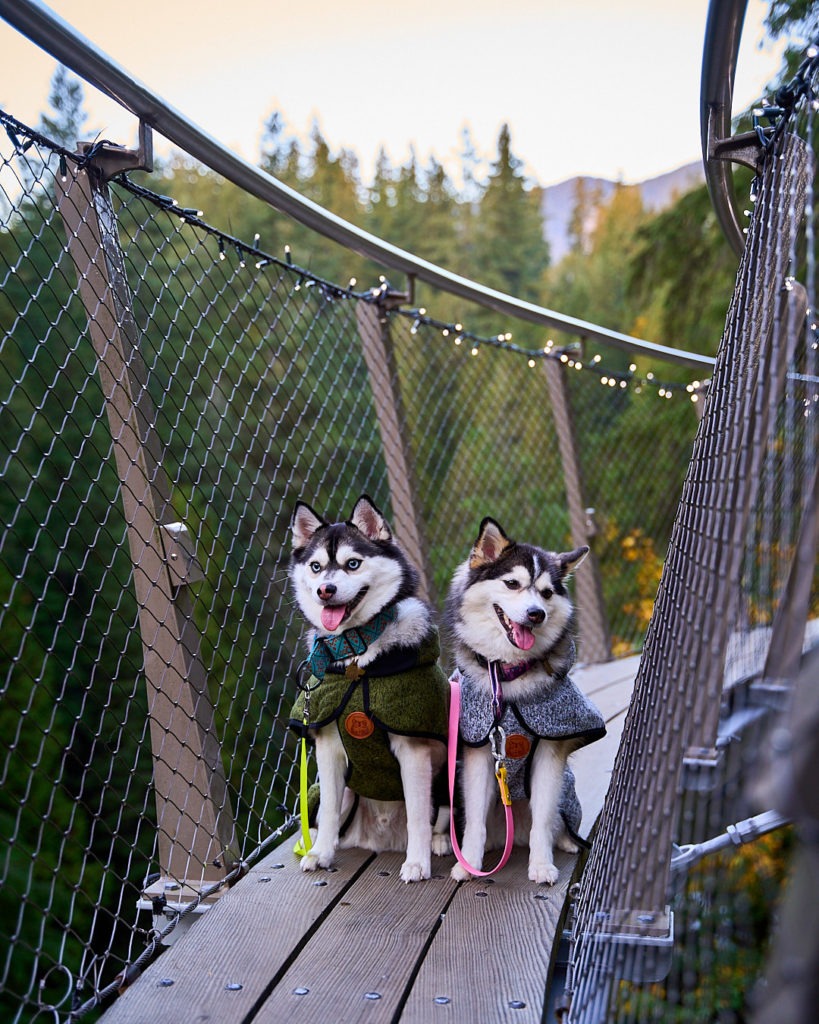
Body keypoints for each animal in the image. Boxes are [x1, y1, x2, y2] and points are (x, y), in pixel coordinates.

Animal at [288, 493, 450, 880]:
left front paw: (417, 862)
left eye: (352, 564)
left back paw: (439, 843)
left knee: (439, 817)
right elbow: (329, 810)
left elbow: (419, 817)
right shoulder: (329, 749)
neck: (357, 659)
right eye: (315, 567)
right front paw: (321, 853)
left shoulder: (414, 751)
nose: (325, 590)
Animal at [444, 516, 606, 884]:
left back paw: (568, 841)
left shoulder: (550, 750)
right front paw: (468, 863)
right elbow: (475, 819)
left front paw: (542, 865)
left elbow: (543, 817)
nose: (536, 614)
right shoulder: (478, 751)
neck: (509, 676)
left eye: (546, 593)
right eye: (512, 584)